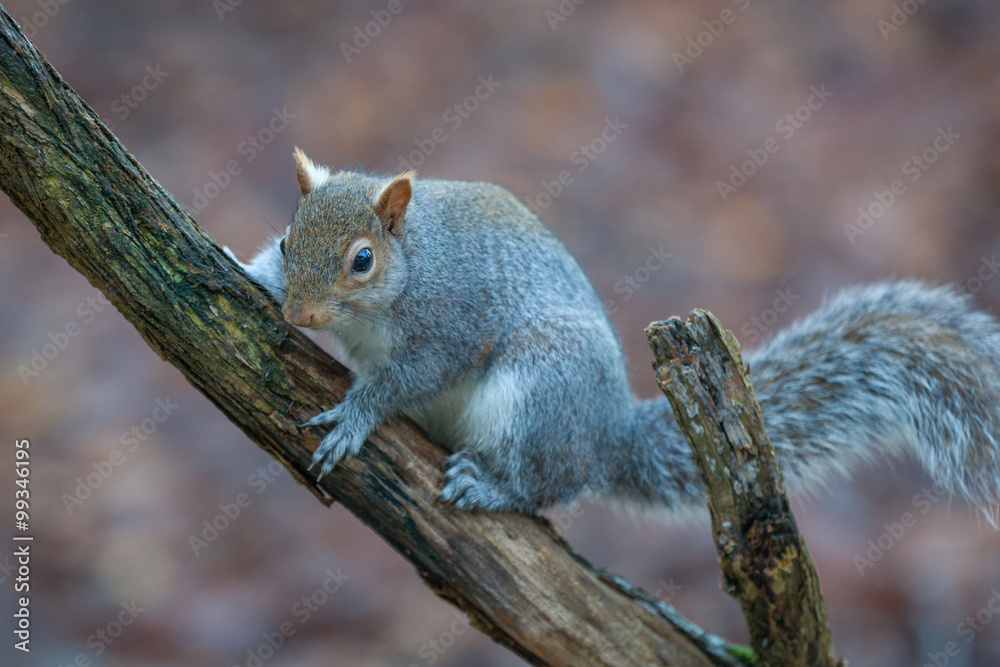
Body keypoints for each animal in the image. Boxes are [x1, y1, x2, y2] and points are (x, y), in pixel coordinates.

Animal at [228, 148, 1000, 520]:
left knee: (549, 487)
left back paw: (495, 488)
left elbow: (407, 377)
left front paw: (356, 416)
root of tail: (607, 433)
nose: (299, 317)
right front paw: (239, 267)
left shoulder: (453, 320)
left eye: (362, 260)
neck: (414, 260)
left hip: (541, 387)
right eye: (289, 239)